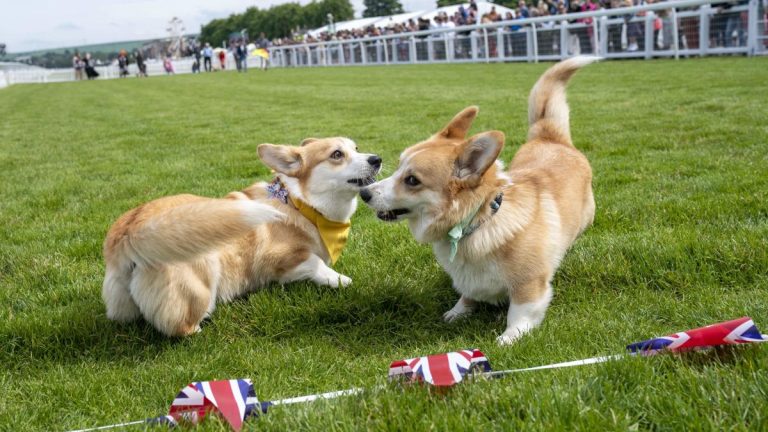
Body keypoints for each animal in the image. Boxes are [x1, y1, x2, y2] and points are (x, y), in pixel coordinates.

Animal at [102, 138, 380, 338]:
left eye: (356, 148)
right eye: (336, 154)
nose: (377, 158)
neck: (300, 203)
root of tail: (128, 232)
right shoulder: (280, 258)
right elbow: (317, 263)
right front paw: (340, 280)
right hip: (202, 271)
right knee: (181, 327)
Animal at [360, 57, 600, 346]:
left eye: (412, 180)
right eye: (397, 168)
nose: (364, 193)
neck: (478, 221)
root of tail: (550, 136)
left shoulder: (529, 285)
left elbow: (520, 313)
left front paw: (508, 338)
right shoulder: (469, 279)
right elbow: (467, 295)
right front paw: (456, 313)